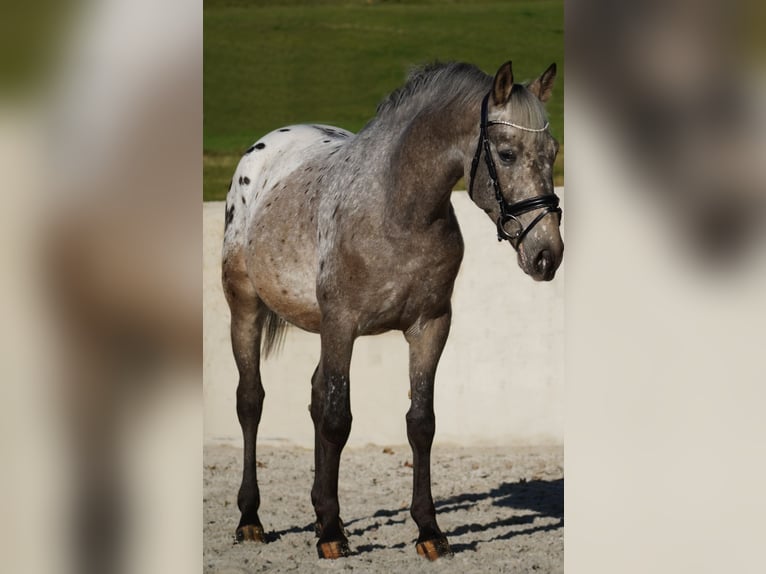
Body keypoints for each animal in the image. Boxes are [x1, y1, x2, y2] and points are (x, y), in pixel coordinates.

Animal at [222, 60, 564, 560]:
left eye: (553, 151)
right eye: (506, 154)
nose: (547, 255)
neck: (397, 209)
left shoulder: (430, 327)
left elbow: (420, 423)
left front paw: (428, 530)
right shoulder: (342, 325)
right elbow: (337, 420)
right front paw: (331, 536)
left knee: (313, 395)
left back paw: (323, 511)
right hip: (245, 307)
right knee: (251, 402)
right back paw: (252, 519)